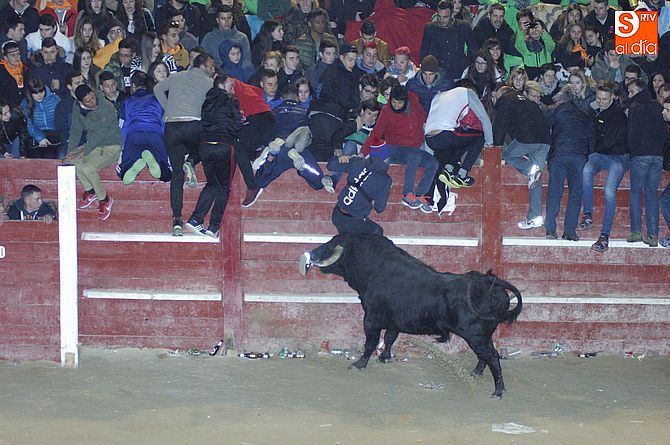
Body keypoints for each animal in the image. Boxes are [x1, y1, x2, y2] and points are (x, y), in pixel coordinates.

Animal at [298, 233, 523, 399]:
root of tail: (488, 281)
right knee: (485, 355)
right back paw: (475, 373)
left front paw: (359, 364)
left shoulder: (371, 318)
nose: (312, 254)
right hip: (482, 336)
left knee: (492, 356)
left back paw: (498, 391)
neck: (374, 268)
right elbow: (389, 338)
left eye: (332, 243)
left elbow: (370, 342)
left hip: (476, 335)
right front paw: (385, 358)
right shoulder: (393, 321)